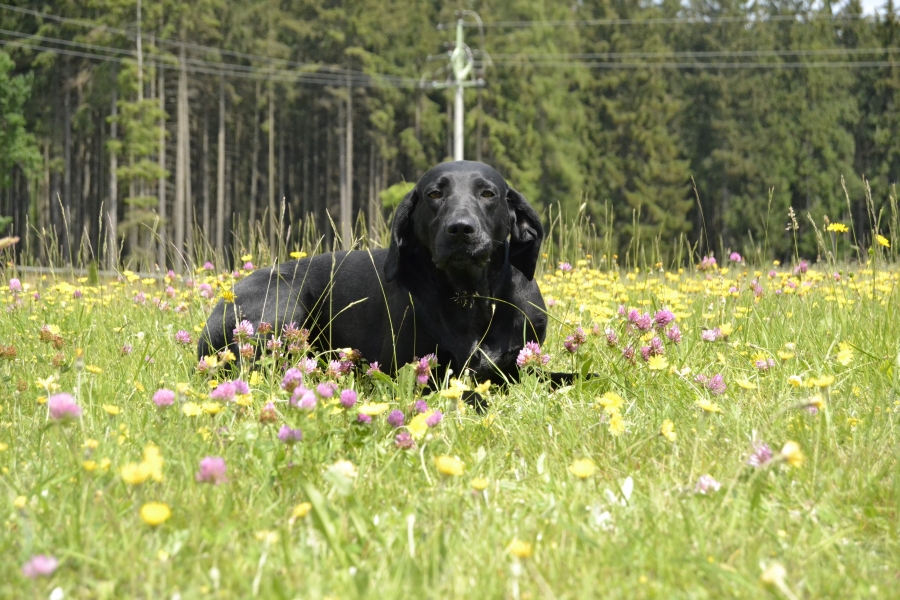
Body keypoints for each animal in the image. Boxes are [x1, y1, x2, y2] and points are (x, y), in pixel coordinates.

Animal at [197, 160, 547, 385]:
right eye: (434, 194)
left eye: (487, 194)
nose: (460, 229)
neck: (471, 296)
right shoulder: (416, 368)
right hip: (284, 307)